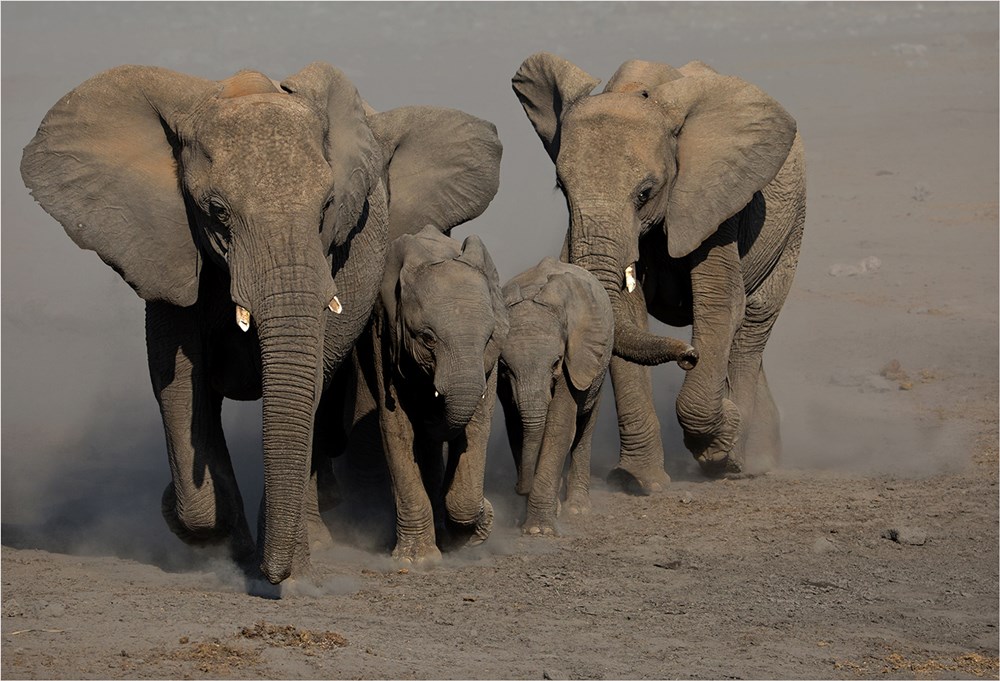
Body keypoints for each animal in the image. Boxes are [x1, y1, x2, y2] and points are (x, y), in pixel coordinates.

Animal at [349, 225, 508, 564]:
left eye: (489, 337)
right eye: (427, 338)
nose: (489, 508)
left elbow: (477, 426)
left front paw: (473, 527)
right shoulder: (384, 337)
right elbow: (396, 427)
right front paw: (417, 560)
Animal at [498, 257, 620, 535]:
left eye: (556, 363)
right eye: (505, 367)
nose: (519, 488)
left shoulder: (573, 358)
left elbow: (559, 427)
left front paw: (539, 530)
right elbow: (517, 428)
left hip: (599, 364)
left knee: (586, 427)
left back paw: (577, 508)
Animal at [512, 52, 806, 485]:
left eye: (645, 193)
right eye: (561, 189)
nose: (688, 355)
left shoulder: (715, 200)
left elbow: (721, 304)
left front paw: (719, 451)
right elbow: (624, 313)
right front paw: (640, 482)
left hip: (791, 226)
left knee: (754, 324)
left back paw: (744, 463)